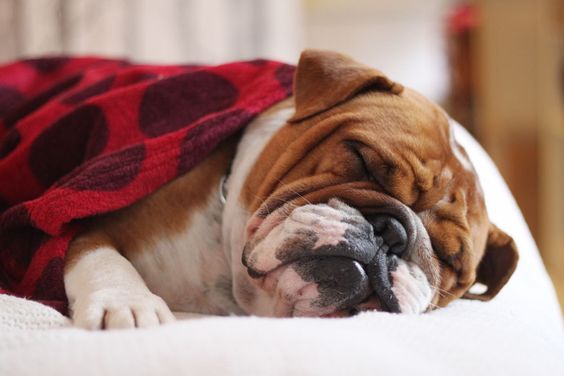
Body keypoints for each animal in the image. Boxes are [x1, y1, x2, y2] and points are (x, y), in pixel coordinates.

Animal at [64, 50, 516, 328]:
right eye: (363, 159)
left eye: (450, 260)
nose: (392, 233)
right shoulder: (94, 226)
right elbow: (100, 257)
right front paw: (127, 304)